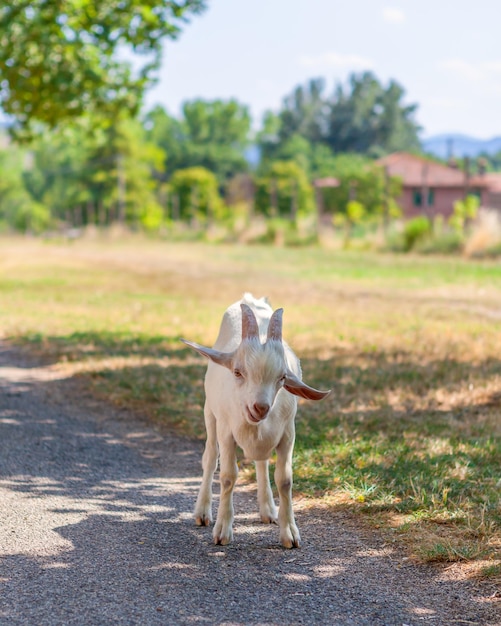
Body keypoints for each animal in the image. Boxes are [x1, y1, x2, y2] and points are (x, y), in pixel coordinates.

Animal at [182, 294, 330, 544]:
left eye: (282, 377)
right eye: (237, 372)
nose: (260, 407)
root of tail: (249, 298)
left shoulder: (287, 434)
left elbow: (285, 480)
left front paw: (289, 532)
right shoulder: (226, 432)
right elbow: (228, 476)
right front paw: (222, 531)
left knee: (261, 462)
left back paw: (268, 509)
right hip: (209, 413)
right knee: (210, 457)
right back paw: (202, 512)